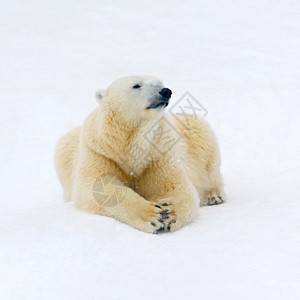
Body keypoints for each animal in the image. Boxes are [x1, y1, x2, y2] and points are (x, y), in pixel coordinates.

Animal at [54, 75, 225, 232]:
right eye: (136, 85)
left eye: (160, 82)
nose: (165, 91)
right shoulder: (101, 153)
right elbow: (99, 188)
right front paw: (153, 215)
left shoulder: (158, 153)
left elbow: (175, 187)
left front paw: (169, 212)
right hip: (64, 150)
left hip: (197, 133)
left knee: (210, 162)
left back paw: (214, 195)